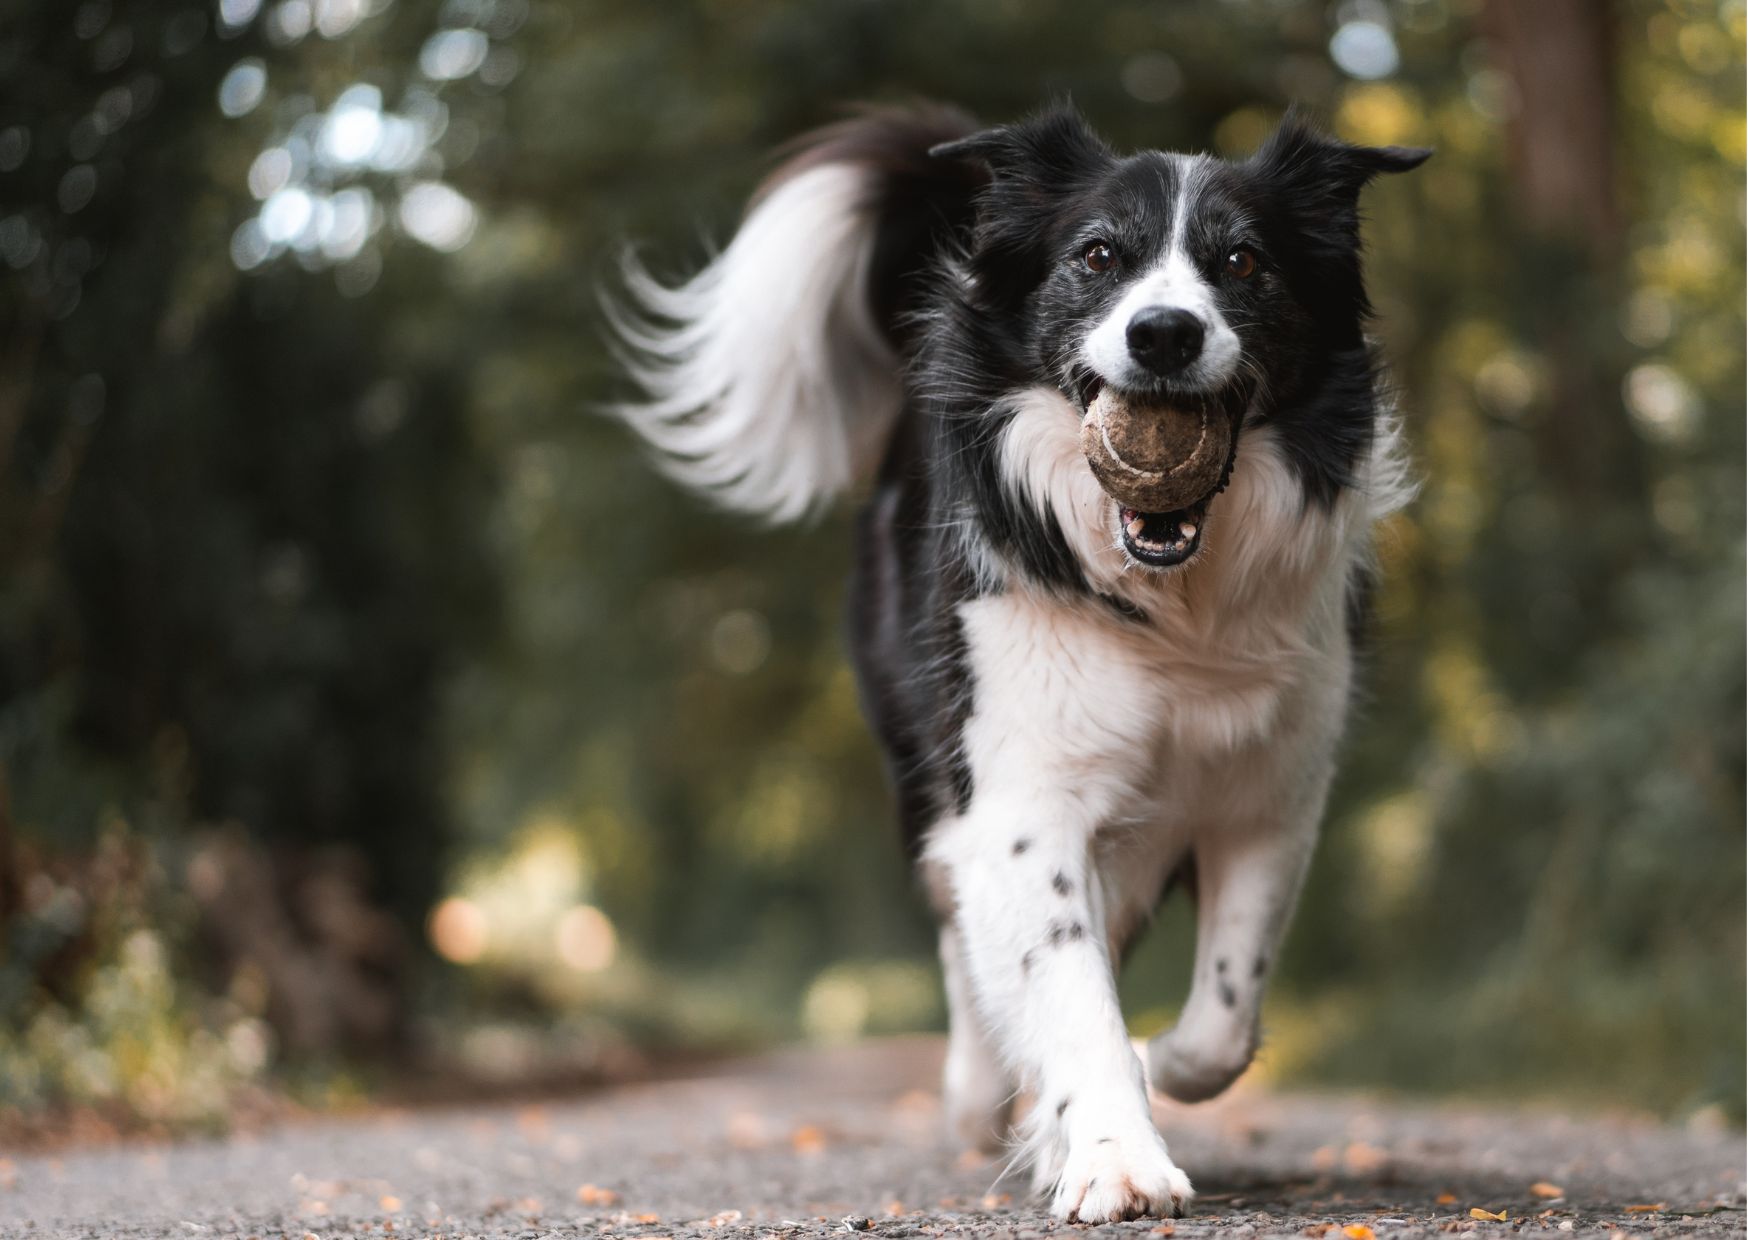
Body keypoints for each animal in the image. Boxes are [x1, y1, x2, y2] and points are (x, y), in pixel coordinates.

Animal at [608, 104, 1426, 1217]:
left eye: (1244, 262)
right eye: (1097, 256)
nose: (1162, 332)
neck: (1173, 601)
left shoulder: (1270, 794)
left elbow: (1223, 1015)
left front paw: (1151, 1073)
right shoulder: (1019, 793)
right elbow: (1065, 985)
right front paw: (1115, 1157)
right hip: (928, 769)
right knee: (963, 936)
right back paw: (978, 1097)